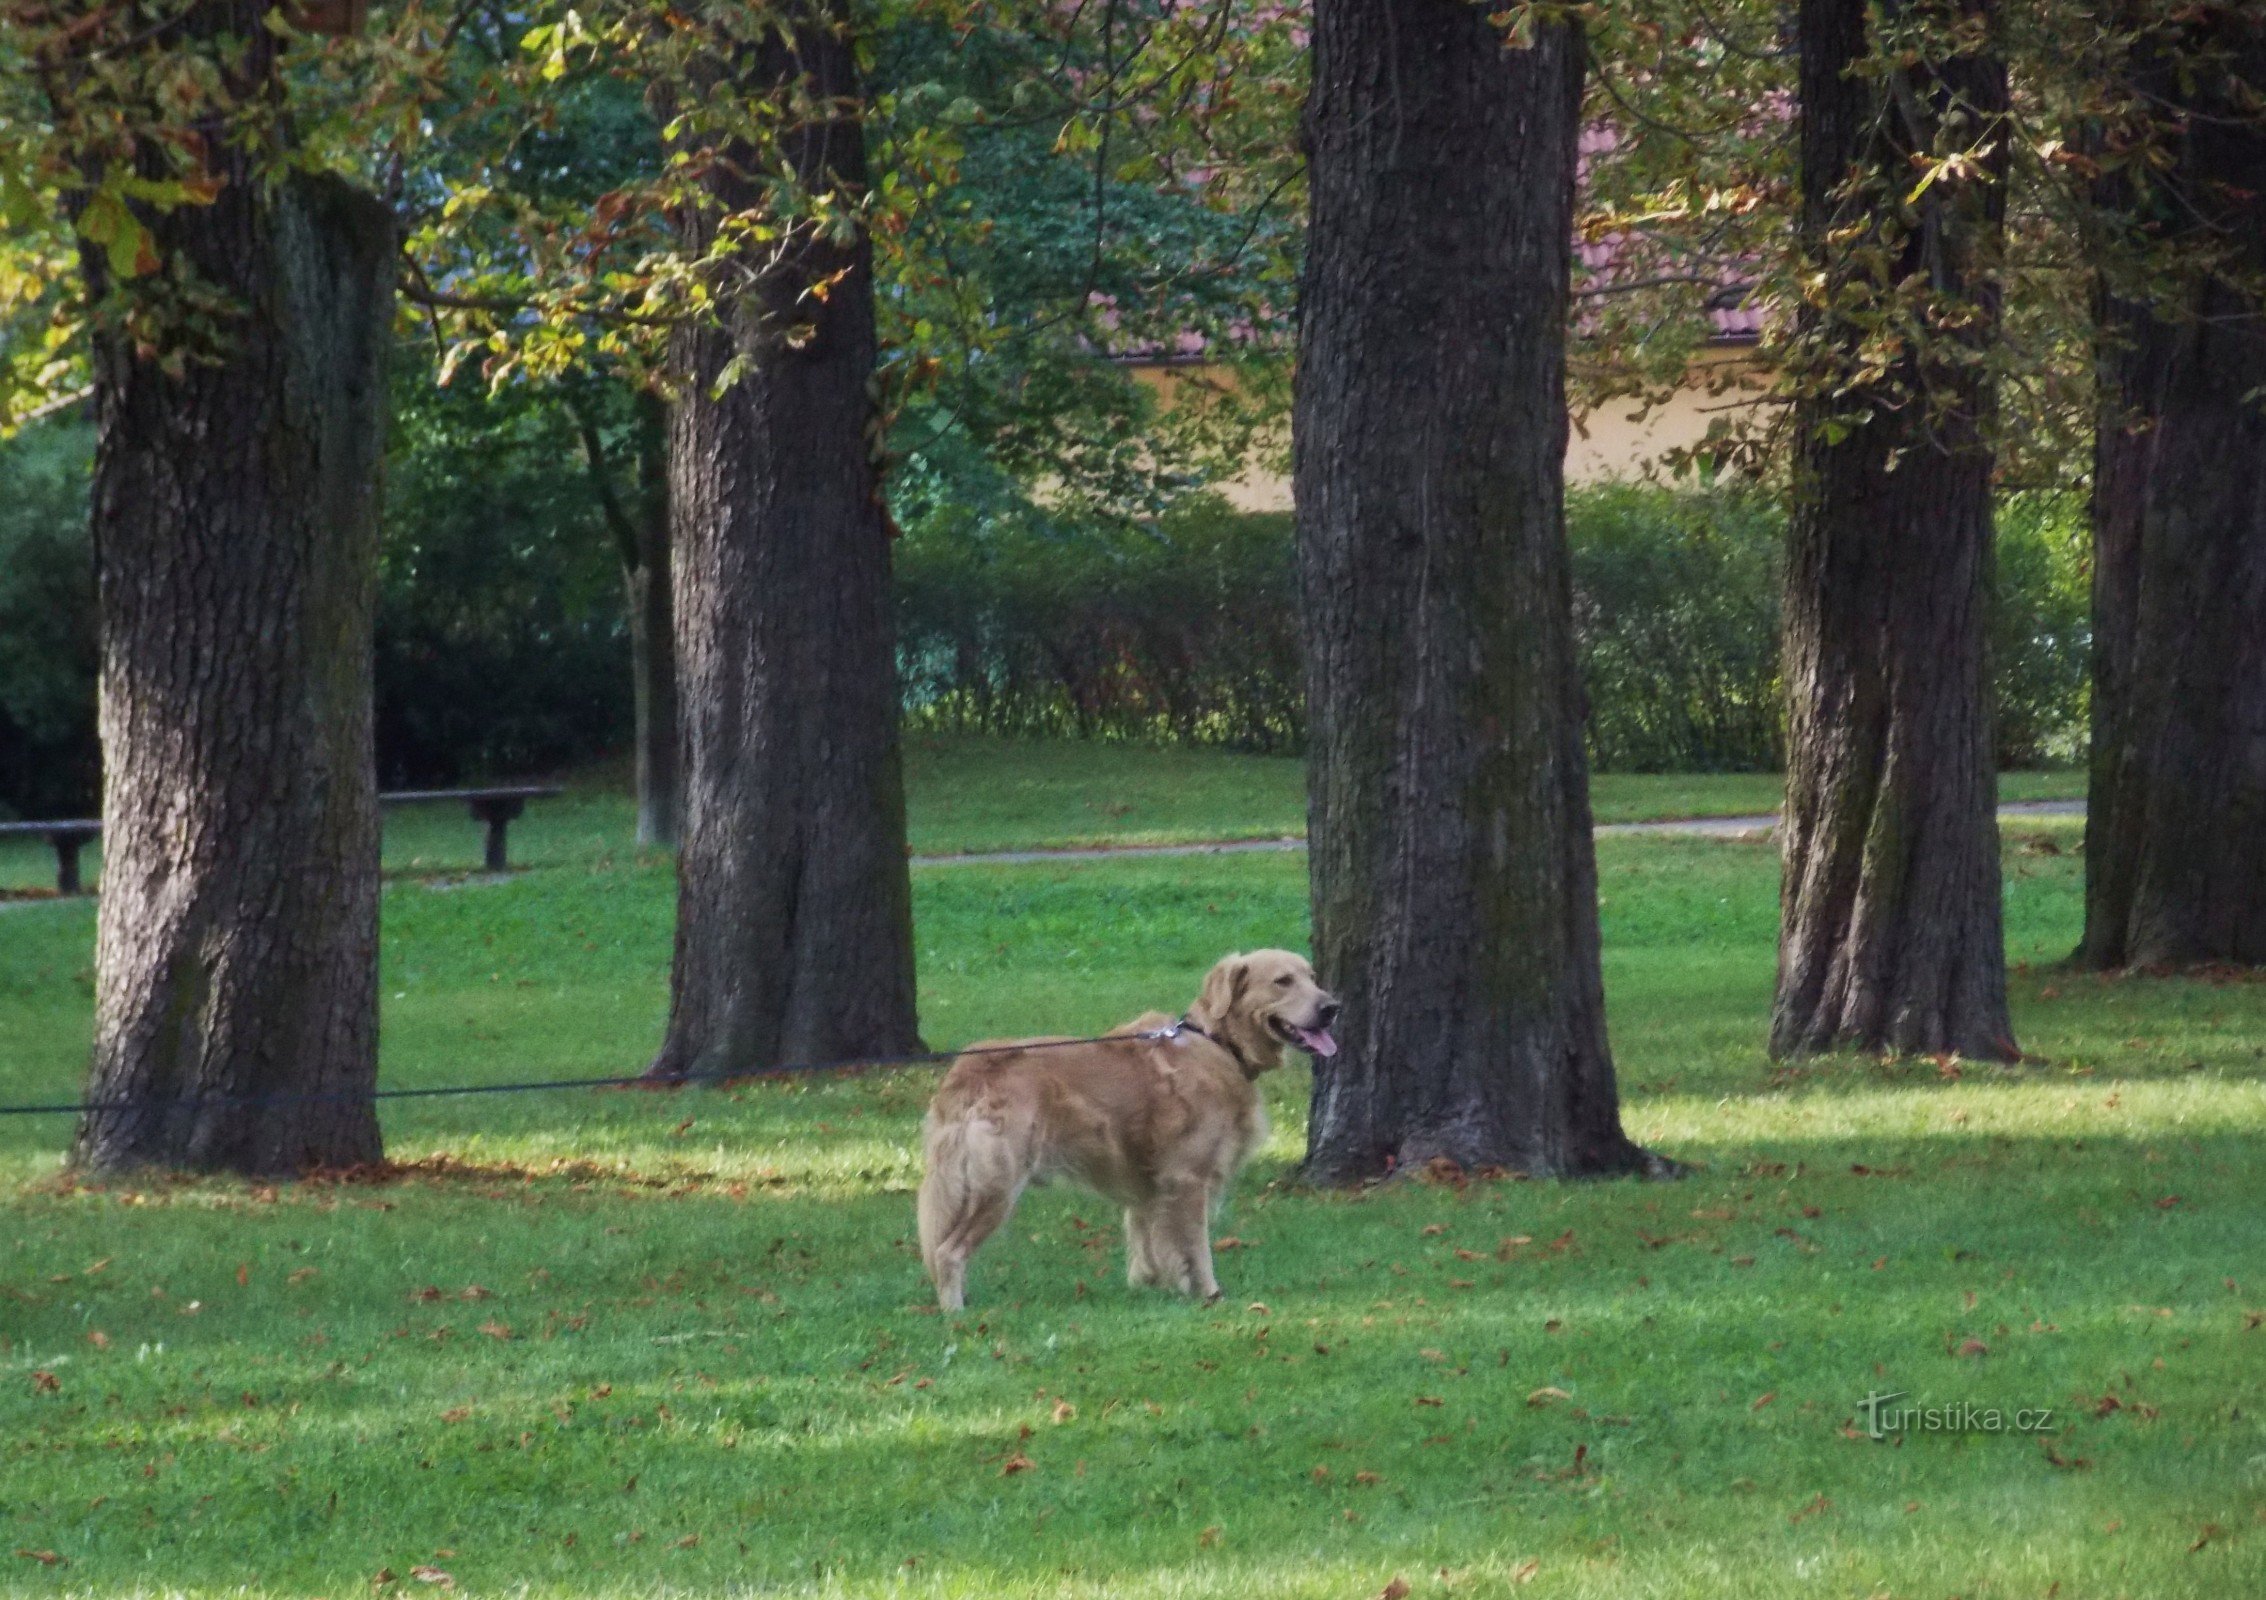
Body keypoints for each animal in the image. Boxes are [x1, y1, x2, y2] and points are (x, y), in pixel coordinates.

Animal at [919, 947, 1332, 1305]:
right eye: (1282, 981)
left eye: (1313, 978)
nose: (1332, 1008)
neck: (1217, 1043)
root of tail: (968, 1068)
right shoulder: (1187, 1179)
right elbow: (1196, 1247)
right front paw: (1209, 1294)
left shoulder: (1147, 1188)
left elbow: (1146, 1244)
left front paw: (1148, 1286)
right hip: (997, 1186)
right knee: (947, 1252)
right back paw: (956, 1313)